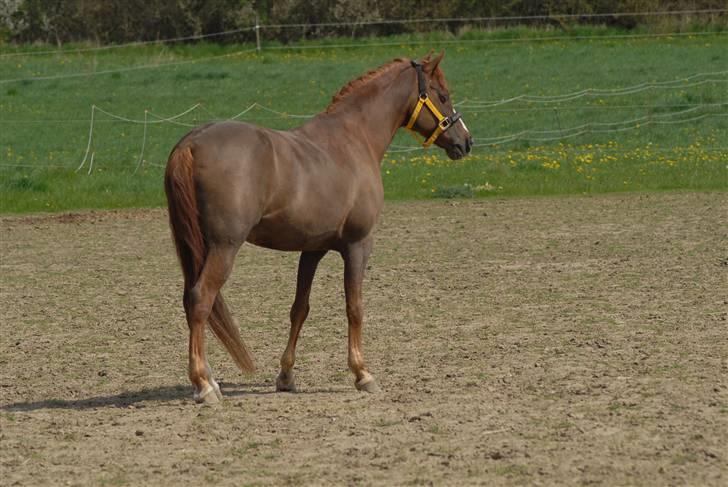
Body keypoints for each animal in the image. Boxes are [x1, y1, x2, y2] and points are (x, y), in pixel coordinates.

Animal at [164, 52, 472, 404]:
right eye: (443, 96)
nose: (466, 141)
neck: (353, 139)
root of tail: (191, 142)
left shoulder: (312, 249)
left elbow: (300, 308)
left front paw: (286, 375)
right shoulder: (358, 245)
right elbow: (355, 308)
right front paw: (363, 374)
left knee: (192, 300)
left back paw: (210, 381)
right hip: (224, 247)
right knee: (200, 299)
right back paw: (203, 384)